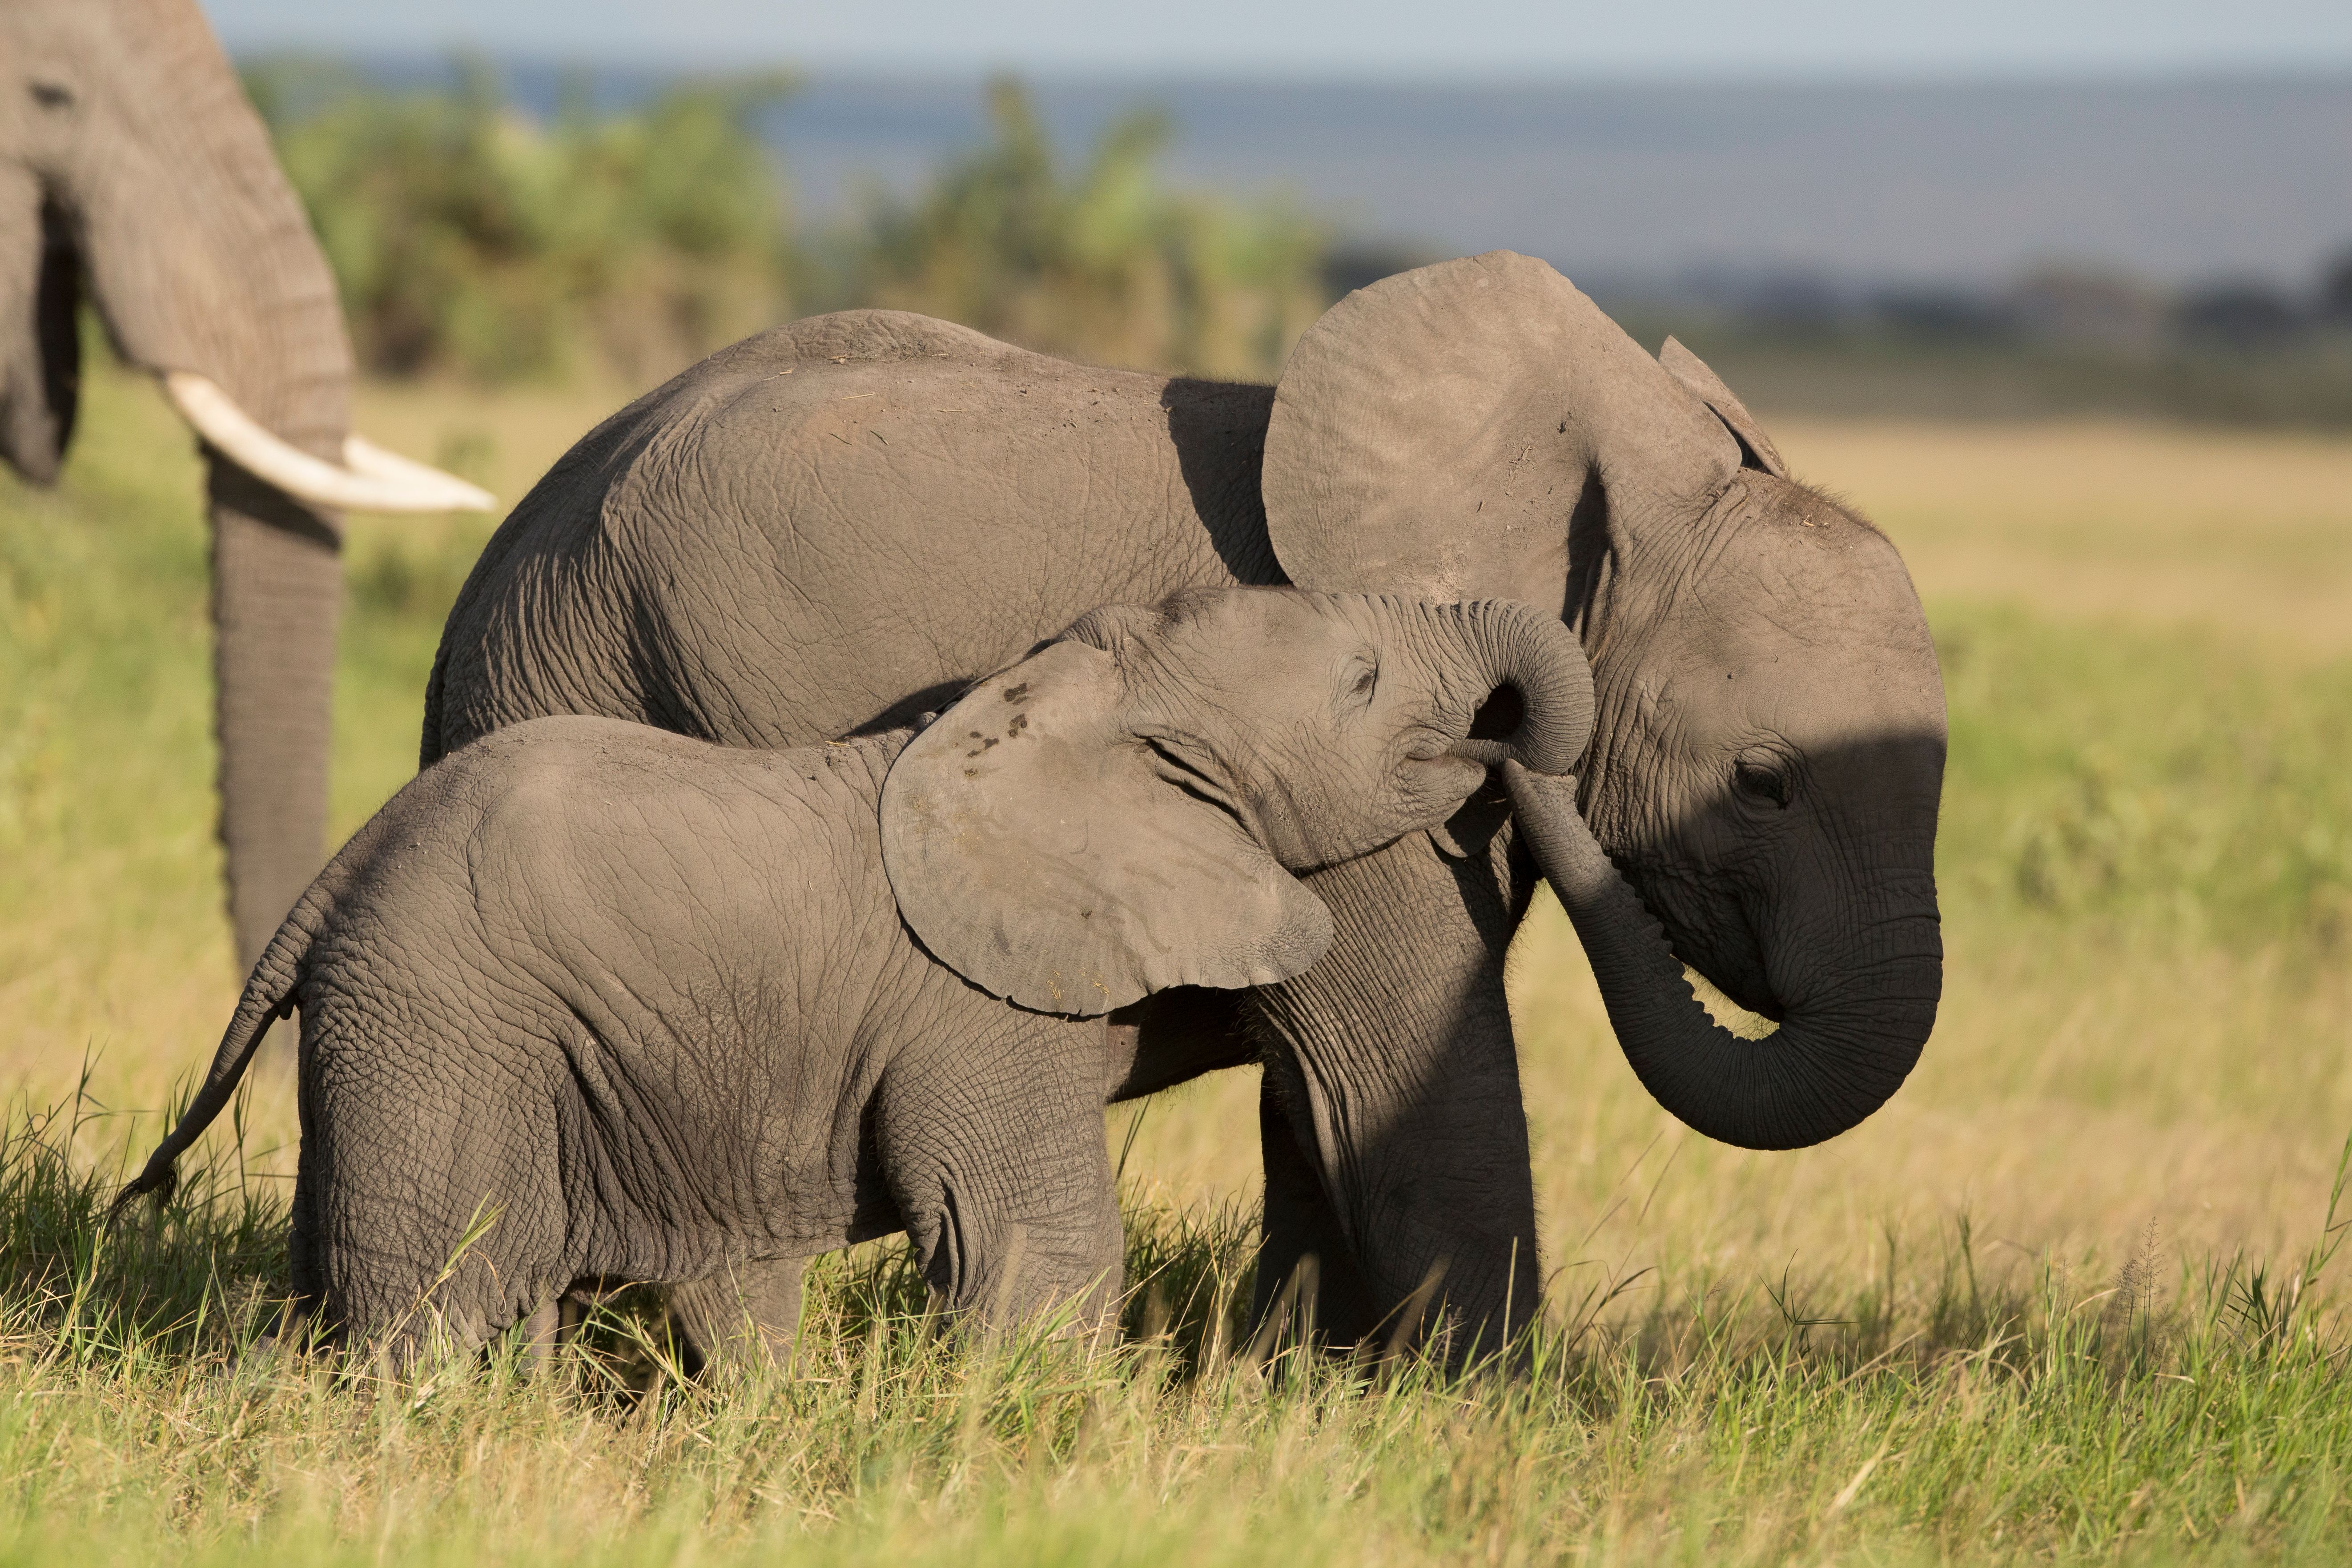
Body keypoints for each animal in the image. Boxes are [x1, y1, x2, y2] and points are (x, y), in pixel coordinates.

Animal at [115, 588, 1594, 1369]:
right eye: (1364, 678)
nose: (1500, 747)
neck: (1072, 698)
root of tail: (330, 881)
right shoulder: (980, 1009)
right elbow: (1031, 1240)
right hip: (435, 1030)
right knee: (429, 1305)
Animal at [424, 251, 1948, 1356]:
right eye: (1764, 781)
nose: (1516, 747)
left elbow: (1329, 1099)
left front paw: (1303, 1388)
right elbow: (1403, 1074)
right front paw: (1487, 1413)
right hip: (567, 657)